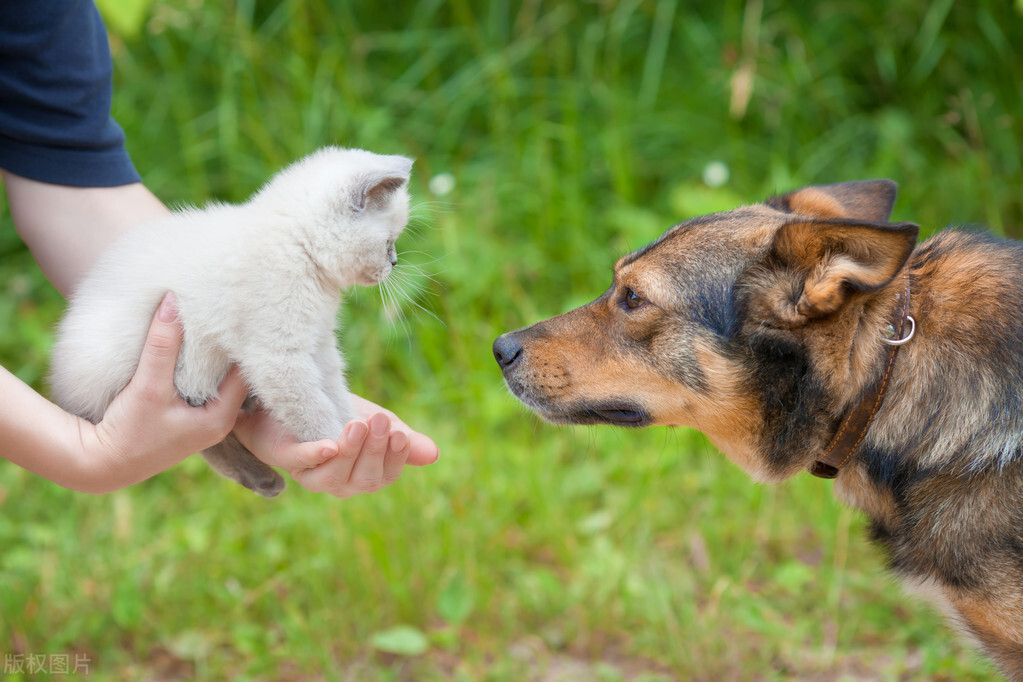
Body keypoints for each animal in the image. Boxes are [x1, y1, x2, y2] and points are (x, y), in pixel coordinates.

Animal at [49, 148, 411, 496]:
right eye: (389, 243)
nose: (394, 263)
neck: (299, 250)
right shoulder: (278, 356)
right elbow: (312, 408)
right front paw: (339, 446)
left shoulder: (318, 344)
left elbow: (335, 392)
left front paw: (354, 431)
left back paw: (263, 479)